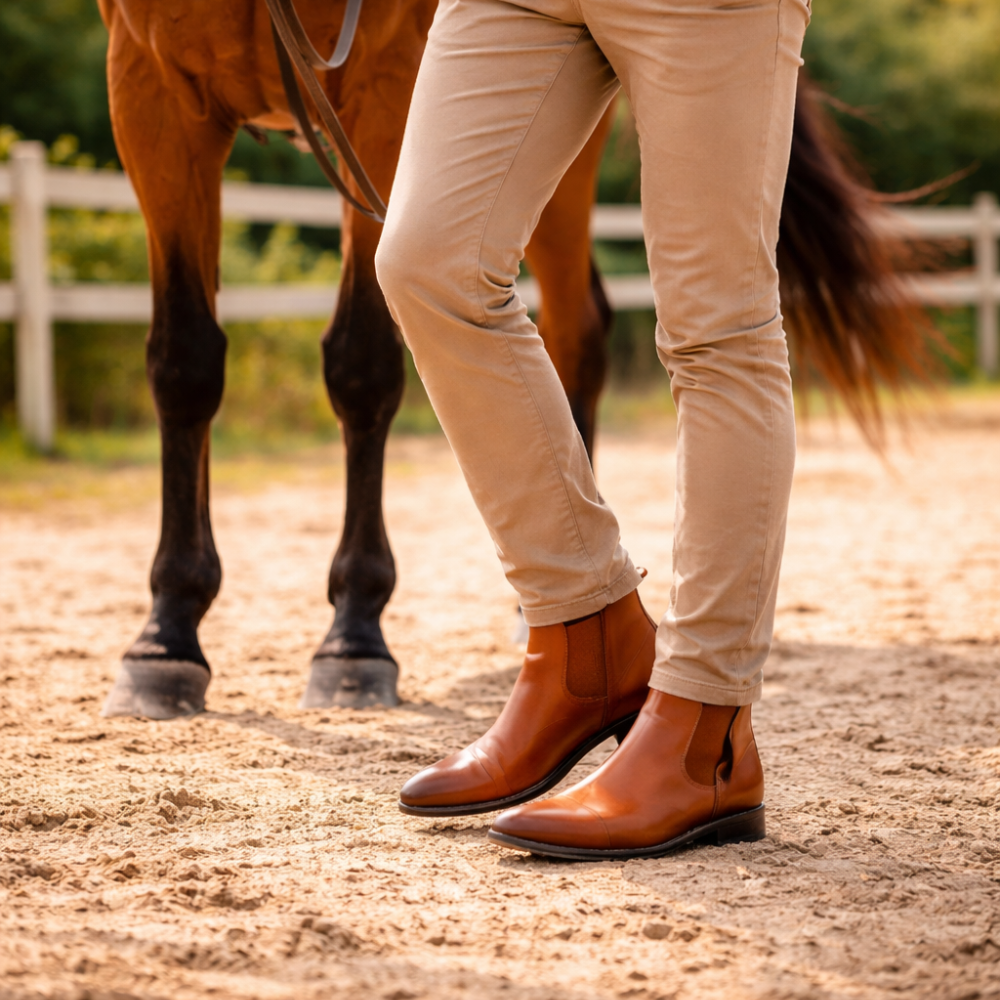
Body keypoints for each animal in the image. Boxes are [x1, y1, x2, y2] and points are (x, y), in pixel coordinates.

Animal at [96, 0, 931, 719]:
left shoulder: (383, 89)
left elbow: (362, 364)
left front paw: (354, 638)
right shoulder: (151, 89)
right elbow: (185, 362)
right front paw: (167, 636)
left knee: (576, 329)